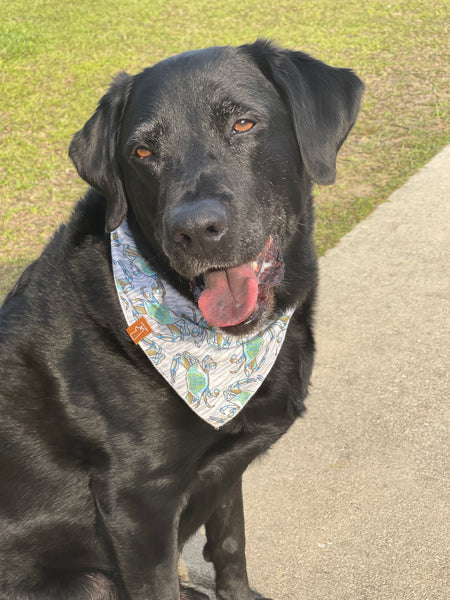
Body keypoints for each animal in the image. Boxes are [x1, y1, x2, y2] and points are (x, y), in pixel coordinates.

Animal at [0, 39, 362, 596]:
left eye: (243, 124)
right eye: (142, 153)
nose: (196, 230)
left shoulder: (224, 468)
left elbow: (231, 543)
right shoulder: (138, 504)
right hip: (87, 581)